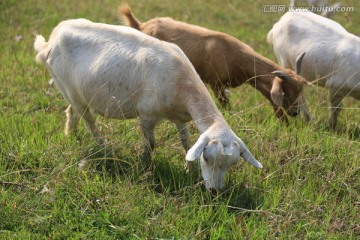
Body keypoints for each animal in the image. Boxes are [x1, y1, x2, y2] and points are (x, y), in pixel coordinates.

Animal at [33, 18, 262, 191]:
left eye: (231, 164)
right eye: (207, 159)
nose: (214, 191)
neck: (182, 83)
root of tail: (51, 40)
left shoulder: (179, 117)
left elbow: (186, 141)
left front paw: (189, 169)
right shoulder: (146, 115)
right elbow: (151, 144)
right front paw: (145, 166)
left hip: (74, 92)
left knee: (72, 111)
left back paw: (71, 136)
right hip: (66, 84)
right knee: (88, 120)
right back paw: (104, 148)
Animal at [120, 5, 310, 123]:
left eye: (300, 91)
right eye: (286, 93)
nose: (295, 113)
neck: (238, 56)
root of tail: (142, 25)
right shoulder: (216, 84)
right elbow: (227, 107)